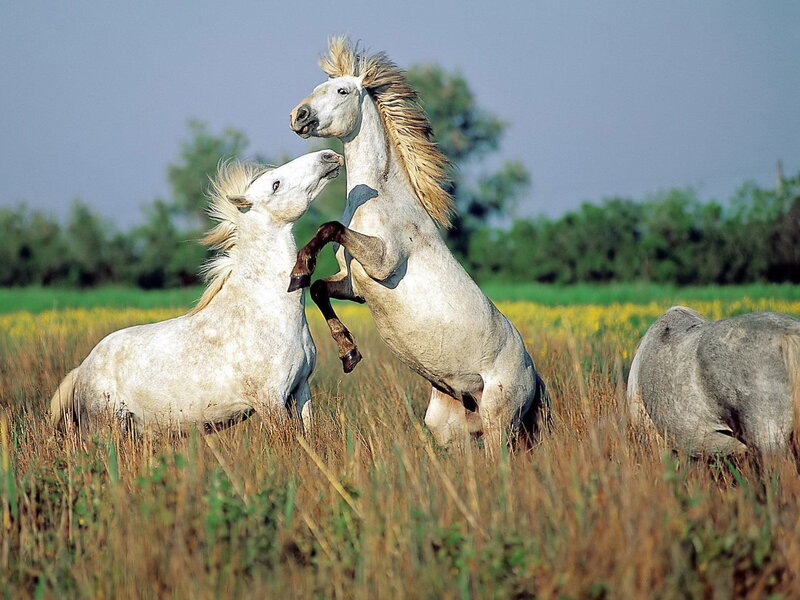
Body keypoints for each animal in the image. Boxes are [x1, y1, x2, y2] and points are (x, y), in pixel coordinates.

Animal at [50, 150, 344, 435]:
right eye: (276, 184)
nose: (329, 156)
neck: (265, 313)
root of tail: (81, 370)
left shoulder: (301, 390)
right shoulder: (270, 401)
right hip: (107, 429)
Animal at [287, 37, 549, 448]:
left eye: (343, 91)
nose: (298, 116)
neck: (382, 199)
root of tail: (533, 376)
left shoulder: (382, 262)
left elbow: (329, 227)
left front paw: (298, 269)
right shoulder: (355, 285)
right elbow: (317, 289)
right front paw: (349, 354)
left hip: (499, 421)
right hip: (449, 427)